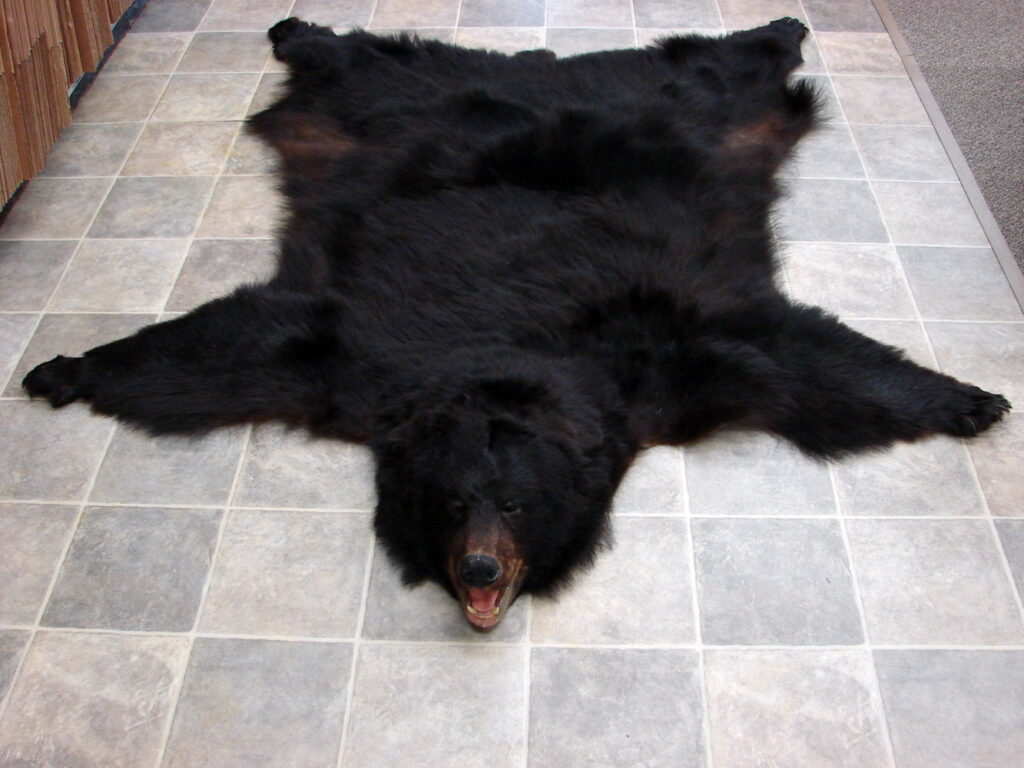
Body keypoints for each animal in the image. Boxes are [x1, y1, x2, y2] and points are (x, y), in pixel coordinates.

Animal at [24, 17, 1010, 631]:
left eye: (518, 502)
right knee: (360, 59)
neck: (507, 359)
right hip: (389, 102)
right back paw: (295, 29)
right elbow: (228, 352)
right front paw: (62, 367)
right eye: (454, 500)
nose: (481, 571)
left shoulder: (669, 357)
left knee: (715, 64)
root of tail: (539, 67)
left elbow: (803, 363)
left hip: (688, 105)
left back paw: (783, 27)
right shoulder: (356, 360)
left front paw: (969, 397)